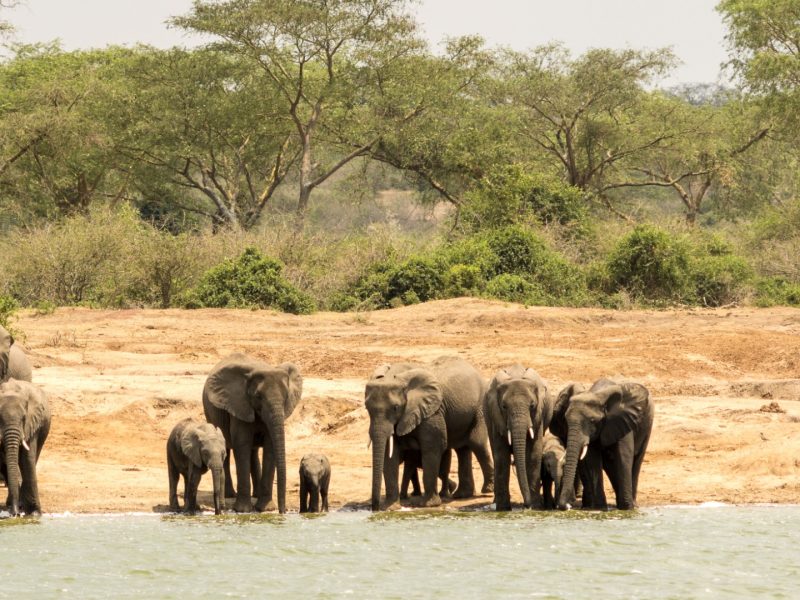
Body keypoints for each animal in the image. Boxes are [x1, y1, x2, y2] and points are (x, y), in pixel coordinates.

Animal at [202, 354, 302, 512]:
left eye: (286, 397)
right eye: (258, 396)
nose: (283, 511)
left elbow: (270, 447)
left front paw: (266, 509)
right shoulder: (239, 405)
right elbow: (242, 445)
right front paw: (243, 510)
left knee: (253, 452)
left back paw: (256, 494)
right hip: (210, 412)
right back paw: (230, 495)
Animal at [368, 356, 494, 510]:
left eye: (395, 407)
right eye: (367, 408)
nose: (374, 508)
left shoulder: (433, 412)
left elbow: (433, 447)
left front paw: (427, 505)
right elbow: (389, 455)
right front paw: (390, 508)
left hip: (479, 408)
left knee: (477, 444)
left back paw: (487, 489)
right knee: (462, 449)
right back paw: (462, 495)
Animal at [484, 366, 552, 510]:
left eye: (532, 406)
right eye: (504, 407)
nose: (526, 505)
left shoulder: (538, 417)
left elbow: (533, 454)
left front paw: (535, 507)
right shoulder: (496, 416)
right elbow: (501, 456)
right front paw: (503, 509)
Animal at [552, 378, 656, 508]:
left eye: (592, 420)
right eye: (566, 420)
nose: (566, 506)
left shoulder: (621, 421)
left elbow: (624, 456)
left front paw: (627, 508)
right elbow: (592, 460)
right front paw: (600, 507)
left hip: (647, 427)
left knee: (636, 460)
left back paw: (633, 505)